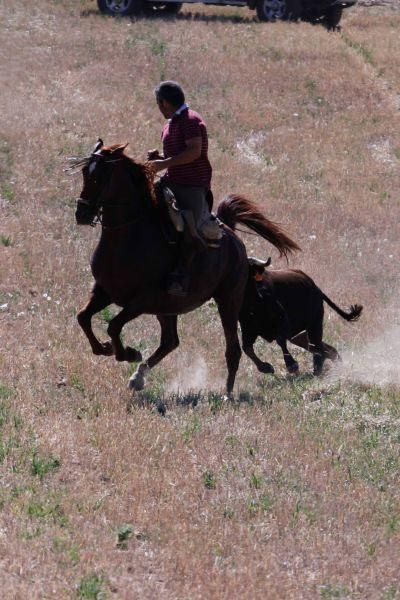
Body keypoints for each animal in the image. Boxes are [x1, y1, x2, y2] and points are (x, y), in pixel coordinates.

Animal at [71, 138, 300, 396]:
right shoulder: (104, 291)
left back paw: (229, 392)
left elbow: (113, 326)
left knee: (232, 348)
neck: (127, 238)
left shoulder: (141, 301)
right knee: (170, 342)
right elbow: (83, 317)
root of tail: (231, 236)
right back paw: (138, 377)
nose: (81, 213)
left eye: (100, 176)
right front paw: (106, 348)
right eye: (84, 172)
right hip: (169, 308)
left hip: (228, 300)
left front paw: (128, 352)